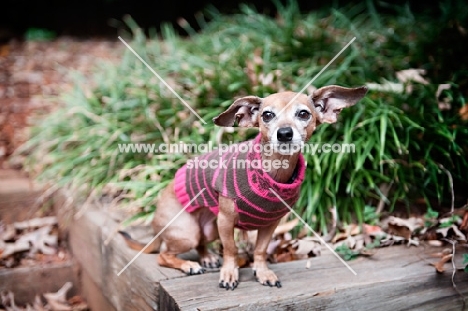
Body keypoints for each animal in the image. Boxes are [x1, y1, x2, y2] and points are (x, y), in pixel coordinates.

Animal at [119, 84, 368, 290]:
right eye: (267, 115)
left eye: (304, 113)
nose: (284, 133)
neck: (273, 171)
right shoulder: (226, 221)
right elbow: (231, 249)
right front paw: (230, 274)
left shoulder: (270, 225)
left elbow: (260, 250)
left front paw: (263, 272)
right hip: (188, 232)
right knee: (163, 255)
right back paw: (189, 265)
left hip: (208, 229)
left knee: (200, 244)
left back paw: (207, 257)